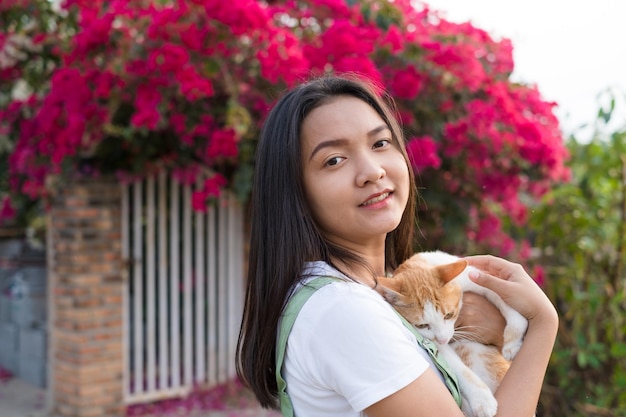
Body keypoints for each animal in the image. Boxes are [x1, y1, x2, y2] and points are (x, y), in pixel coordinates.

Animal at [376, 250, 528, 416]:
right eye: (422, 325)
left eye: (449, 315)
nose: (443, 340)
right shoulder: (432, 342)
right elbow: (457, 368)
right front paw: (482, 400)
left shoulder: (475, 277)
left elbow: (501, 294)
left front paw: (513, 341)